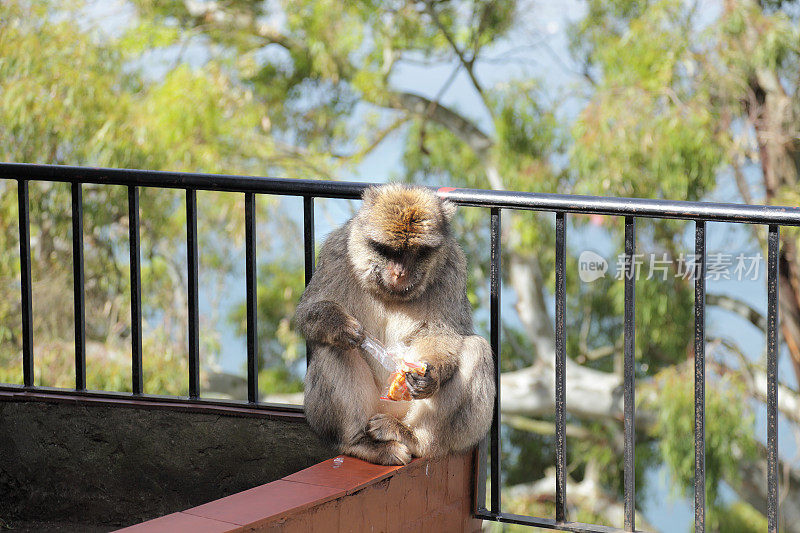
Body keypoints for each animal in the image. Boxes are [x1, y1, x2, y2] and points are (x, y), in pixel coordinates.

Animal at [296, 184, 494, 466]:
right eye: (390, 251)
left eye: (415, 252)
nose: (400, 272)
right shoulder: (337, 251)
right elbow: (309, 311)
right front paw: (340, 325)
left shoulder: (453, 267)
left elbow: (443, 333)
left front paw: (430, 376)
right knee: (332, 347)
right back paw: (361, 443)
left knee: (476, 349)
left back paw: (414, 437)